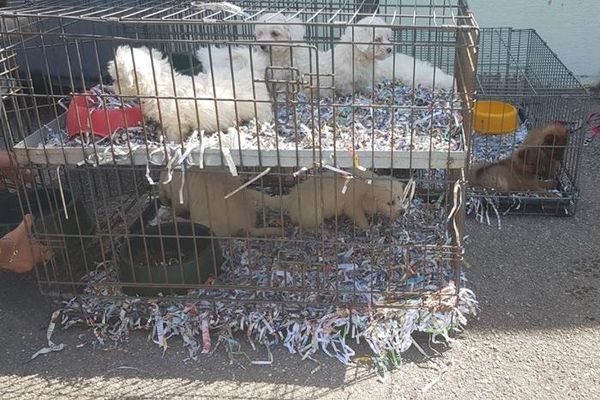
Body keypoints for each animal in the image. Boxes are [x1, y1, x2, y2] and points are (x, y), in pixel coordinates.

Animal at [109, 45, 274, 142]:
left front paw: (172, 144)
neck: (160, 85)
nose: (113, 87)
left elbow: (175, 134)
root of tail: (250, 70)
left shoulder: (175, 121)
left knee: (265, 114)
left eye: (117, 79)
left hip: (258, 106)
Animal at [262, 172, 406, 231]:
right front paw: (367, 227)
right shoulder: (353, 207)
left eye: (399, 198)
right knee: (303, 225)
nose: (403, 212)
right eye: (390, 203)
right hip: (314, 215)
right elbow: (360, 218)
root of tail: (291, 197)